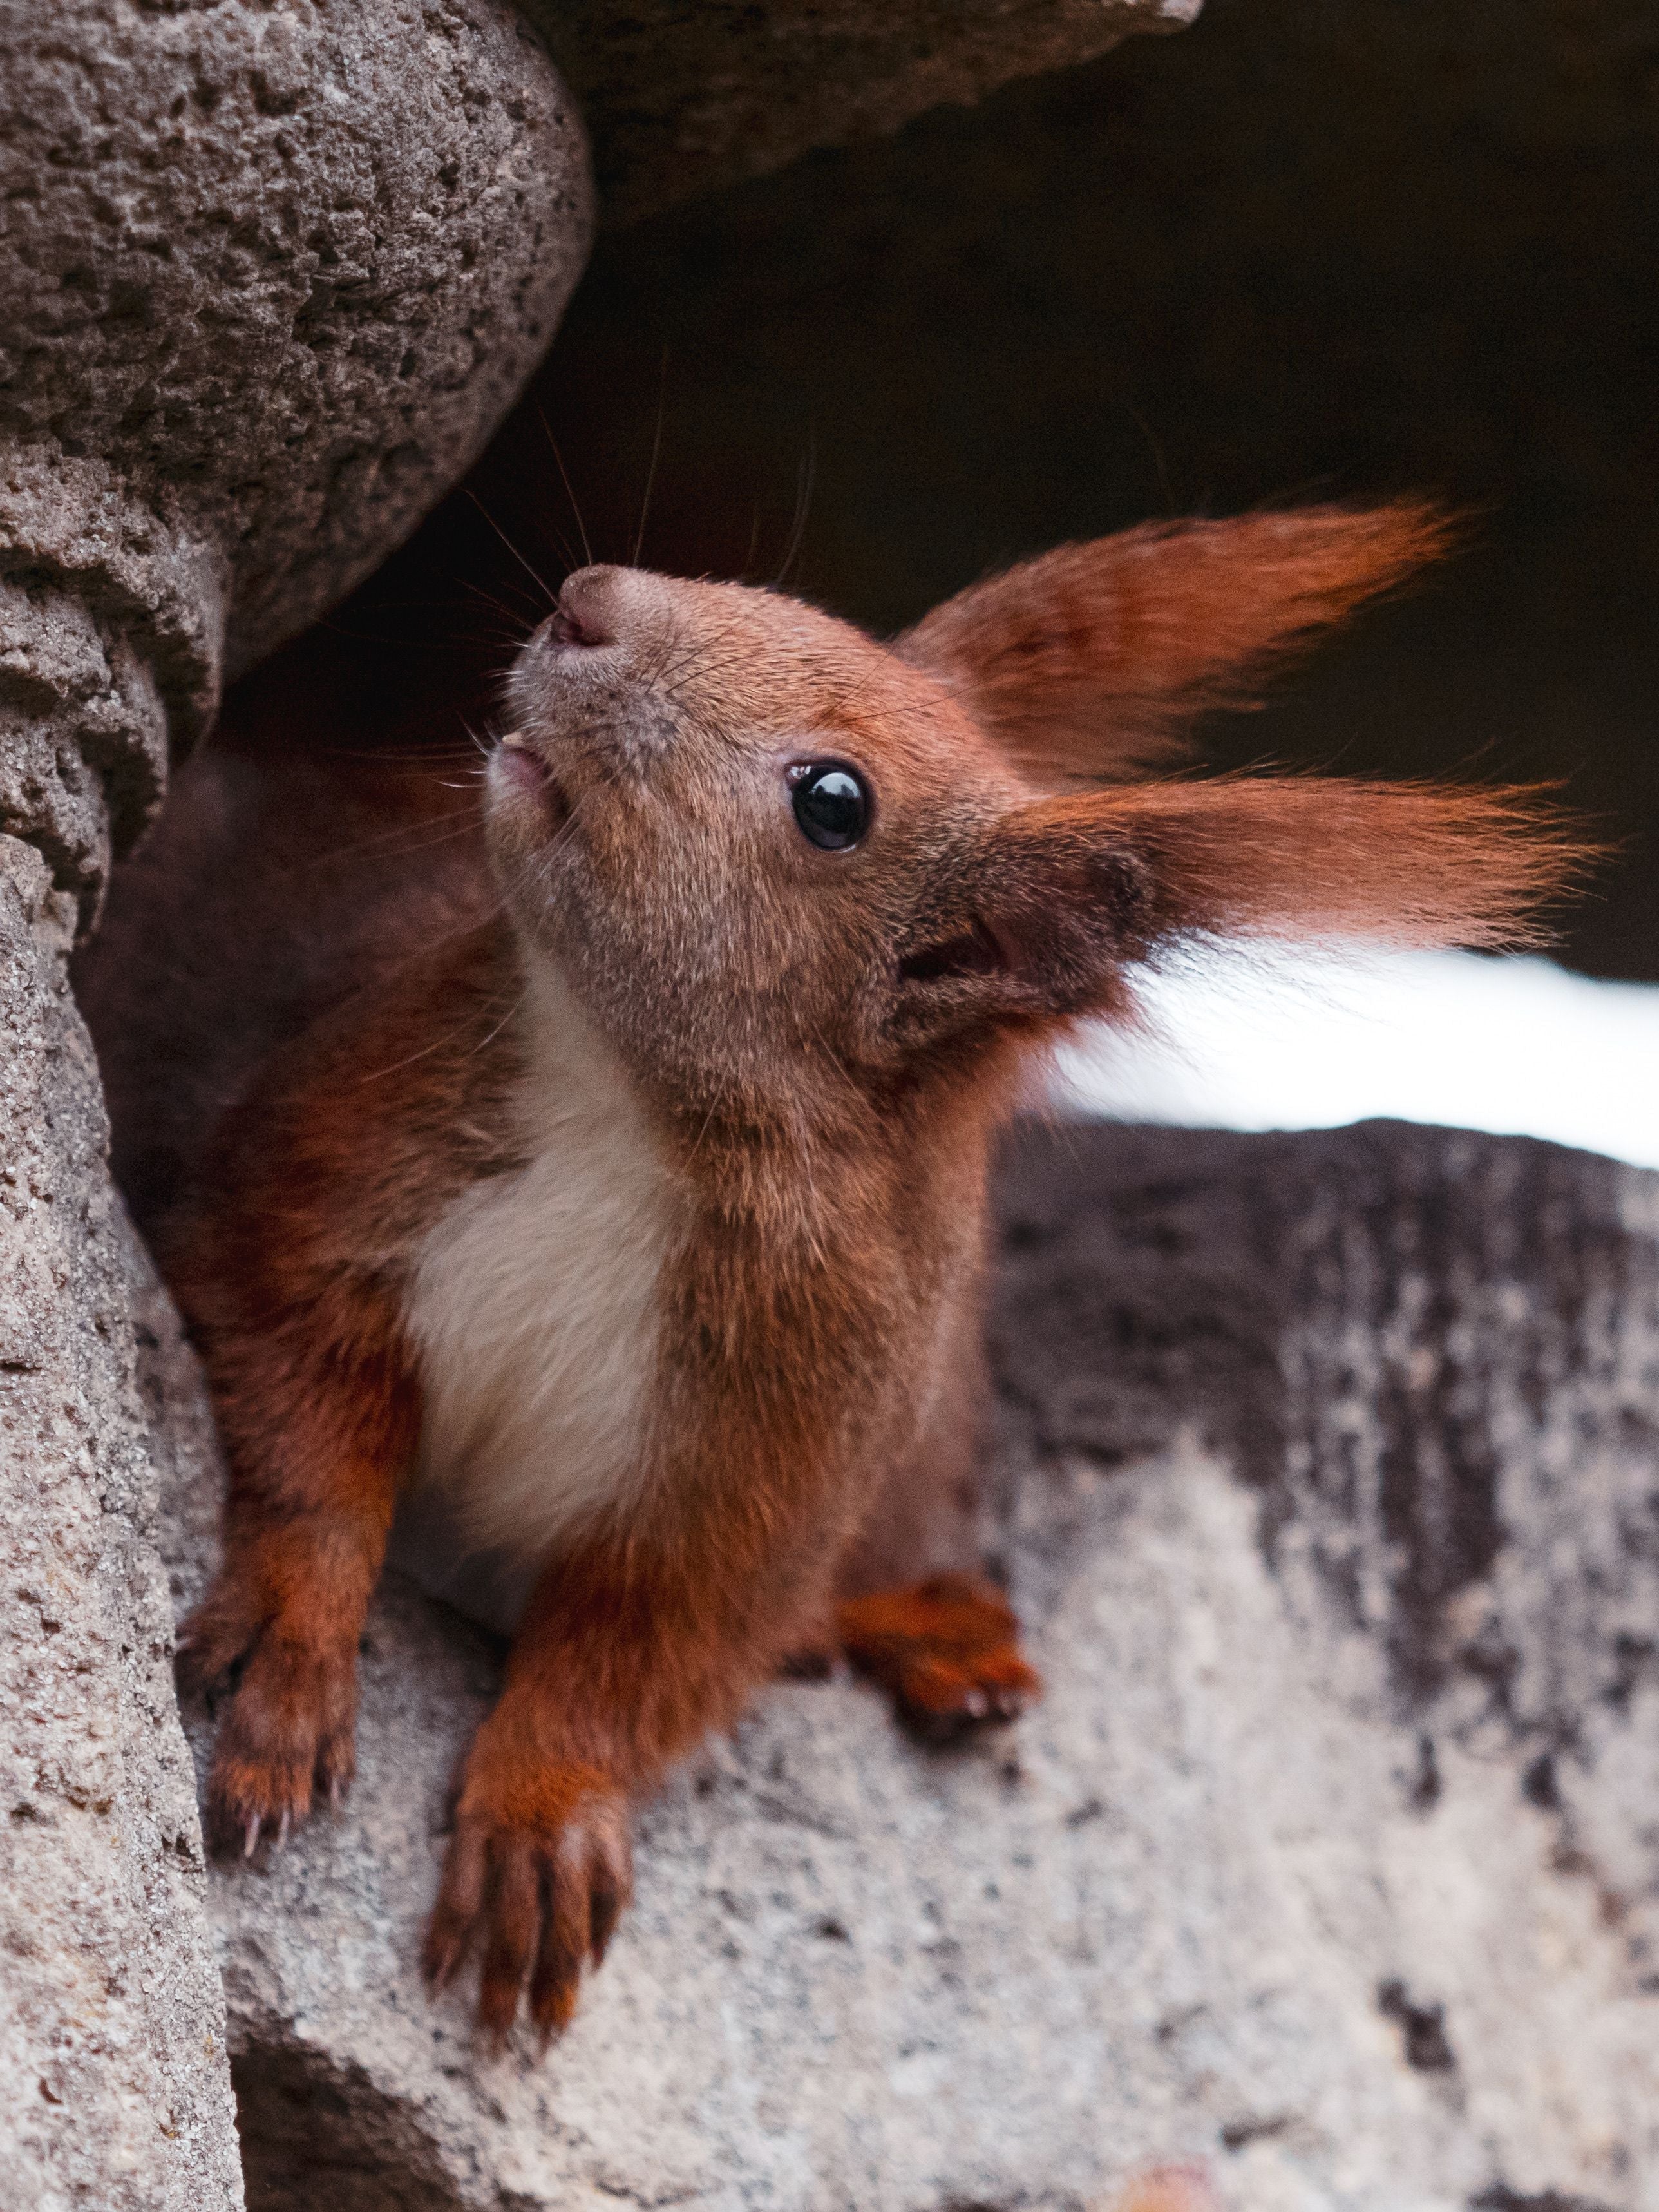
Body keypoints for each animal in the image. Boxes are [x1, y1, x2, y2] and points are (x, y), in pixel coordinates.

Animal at [78, 502, 1585, 2050]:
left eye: (833, 802)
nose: (587, 602)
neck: (629, 1111)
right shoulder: (315, 1176)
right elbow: (305, 1415)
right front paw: (294, 1649)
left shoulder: (780, 1452)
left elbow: (647, 1650)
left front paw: (544, 1814)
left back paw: (931, 1640)